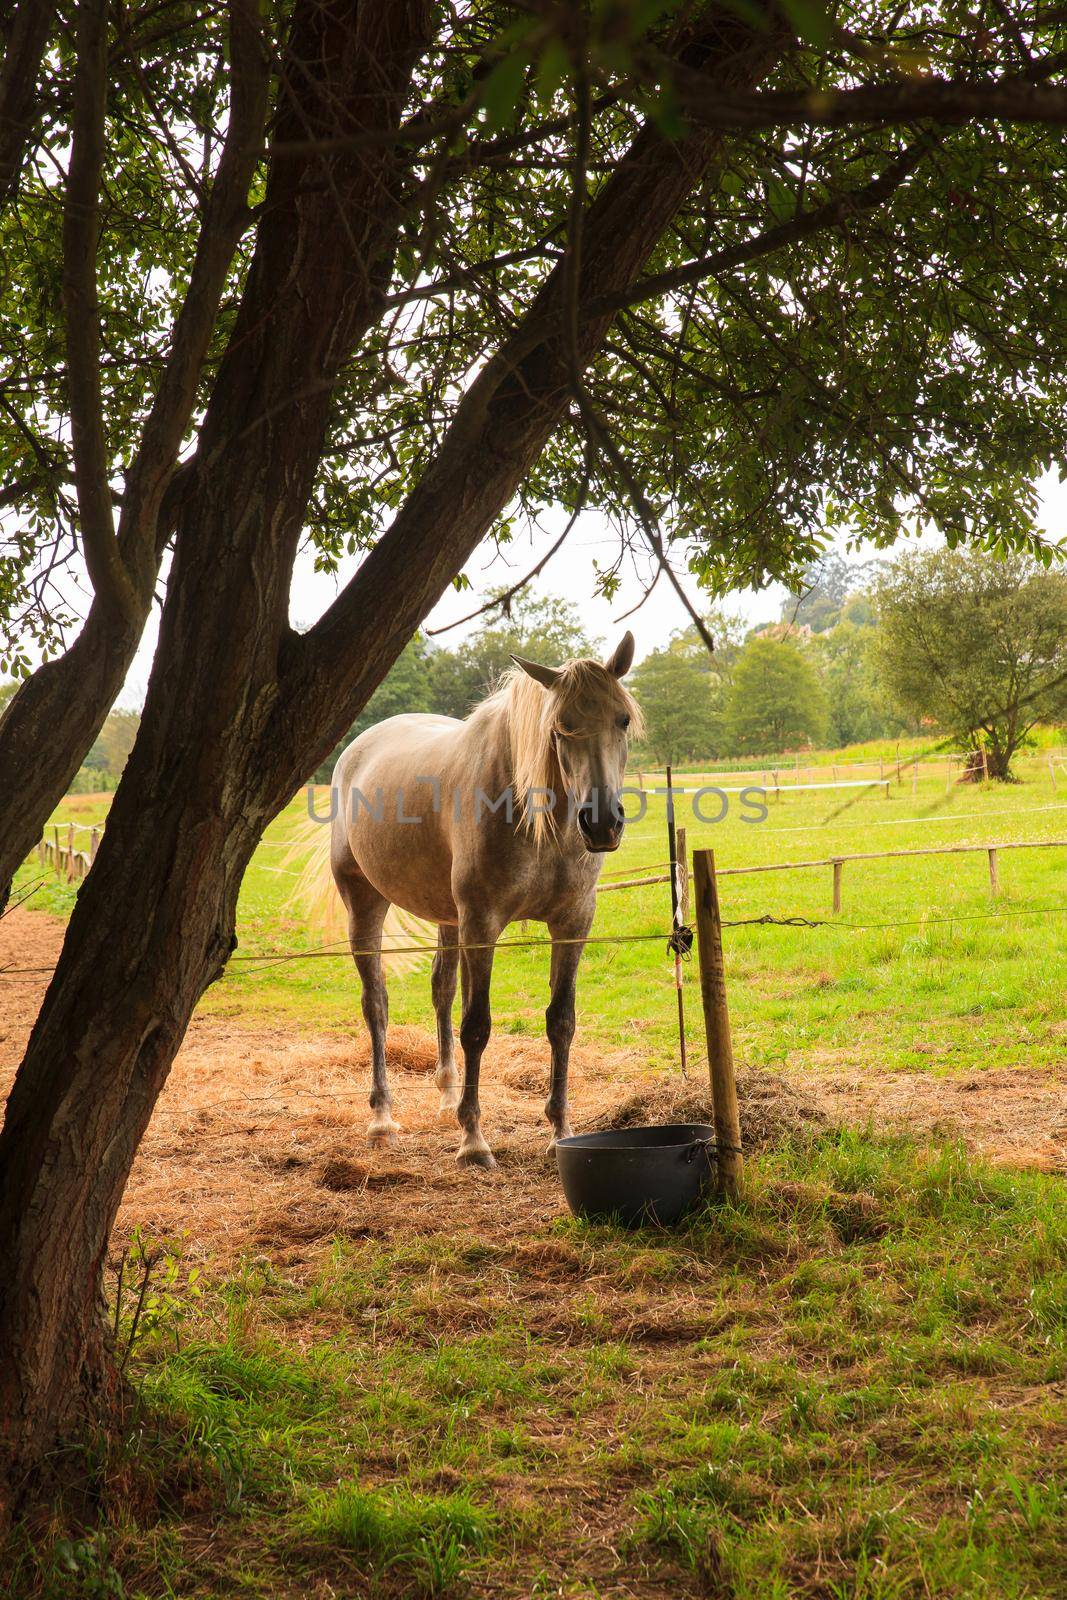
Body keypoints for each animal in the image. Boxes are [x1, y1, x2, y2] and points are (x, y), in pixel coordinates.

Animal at [323, 630, 643, 1171]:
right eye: (560, 727)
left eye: (621, 719)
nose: (602, 823)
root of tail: (356, 750)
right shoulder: (481, 925)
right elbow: (477, 1026)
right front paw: (473, 1141)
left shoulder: (572, 924)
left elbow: (561, 1021)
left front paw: (560, 1131)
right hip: (365, 903)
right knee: (377, 1004)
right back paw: (383, 1119)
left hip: (447, 918)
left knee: (441, 990)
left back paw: (448, 1097)